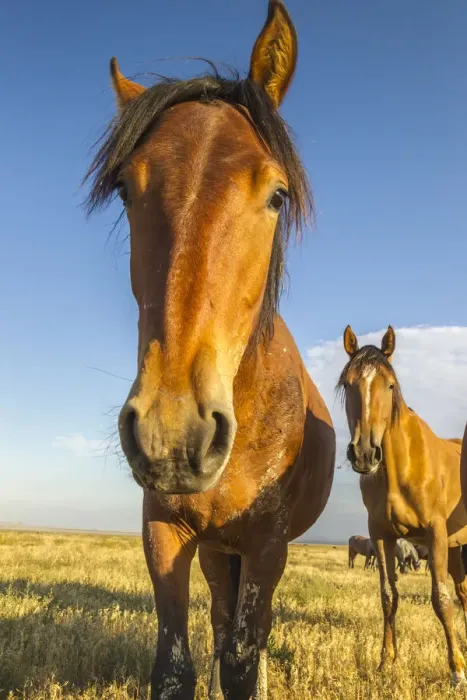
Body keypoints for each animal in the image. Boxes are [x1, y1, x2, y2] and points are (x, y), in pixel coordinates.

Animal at [84, 2, 335, 698]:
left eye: (277, 194)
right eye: (126, 189)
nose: (174, 434)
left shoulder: (267, 545)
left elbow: (243, 660)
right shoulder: (164, 531)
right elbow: (176, 667)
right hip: (218, 553)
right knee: (222, 622)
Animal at [337, 325, 467, 685]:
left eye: (390, 385)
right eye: (348, 384)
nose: (365, 453)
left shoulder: (435, 533)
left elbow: (440, 598)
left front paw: (457, 670)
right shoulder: (381, 535)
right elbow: (388, 596)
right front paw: (386, 661)